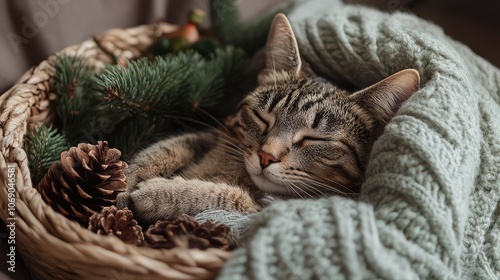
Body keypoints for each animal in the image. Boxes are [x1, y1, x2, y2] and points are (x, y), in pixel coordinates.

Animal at [116, 13, 418, 224]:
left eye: (314, 139)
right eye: (263, 118)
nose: (265, 156)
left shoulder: (266, 210)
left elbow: (226, 196)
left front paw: (158, 193)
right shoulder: (211, 134)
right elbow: (162, 150)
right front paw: (125, 181)